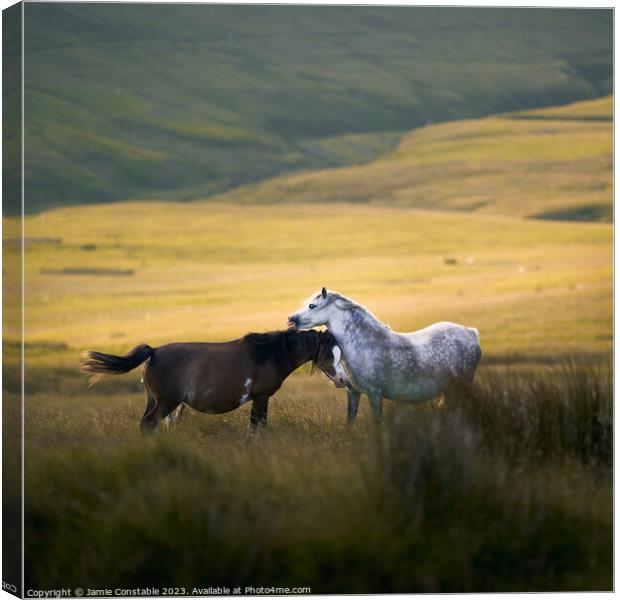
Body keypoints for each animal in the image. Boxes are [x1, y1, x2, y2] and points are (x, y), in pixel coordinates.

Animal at [80, 328, 346, 432]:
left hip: (154, 401)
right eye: (329, 354)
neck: (269, 354)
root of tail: (153, 352)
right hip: (166, 403)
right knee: (148, 424)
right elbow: (256, 425)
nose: (343, 379)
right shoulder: (261, 397)